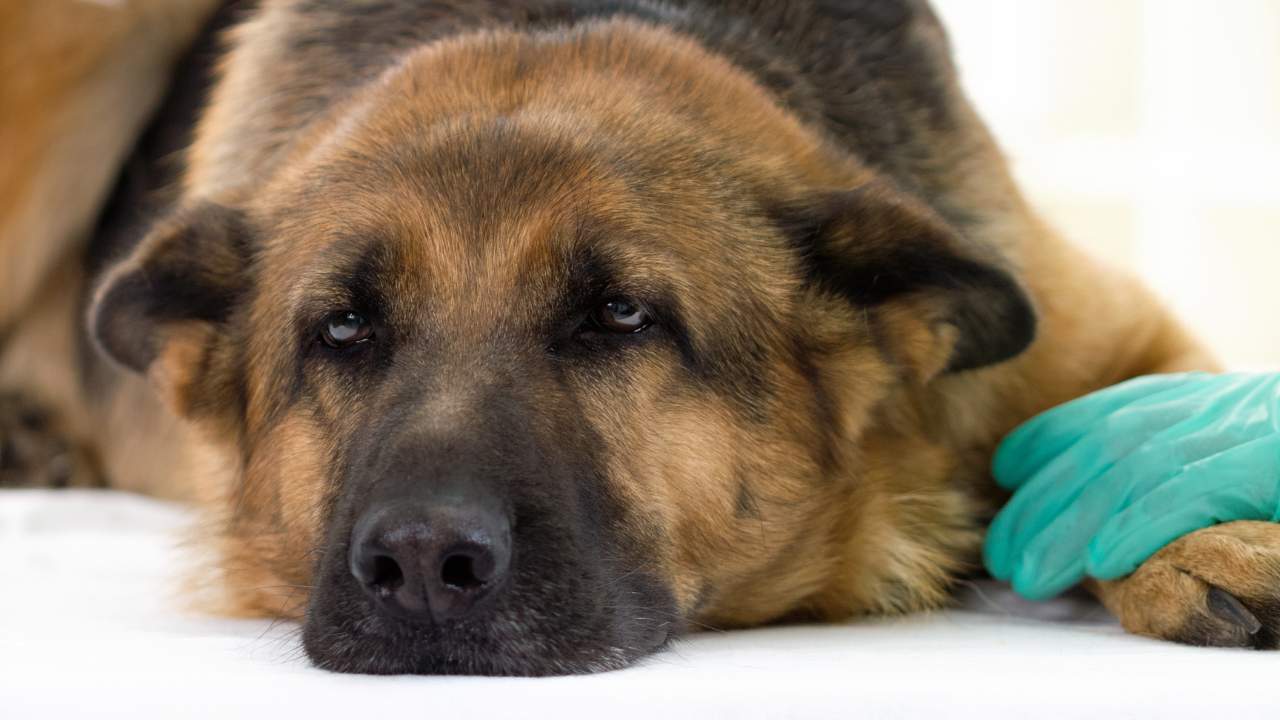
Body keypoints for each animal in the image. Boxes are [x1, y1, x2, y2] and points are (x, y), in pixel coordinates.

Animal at [2, 0, 1280, 671]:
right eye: (343, 328)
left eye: (620, 315)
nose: (420, 562)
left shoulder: (1097, 332)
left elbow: (1125, 421)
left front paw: (1203, 530)